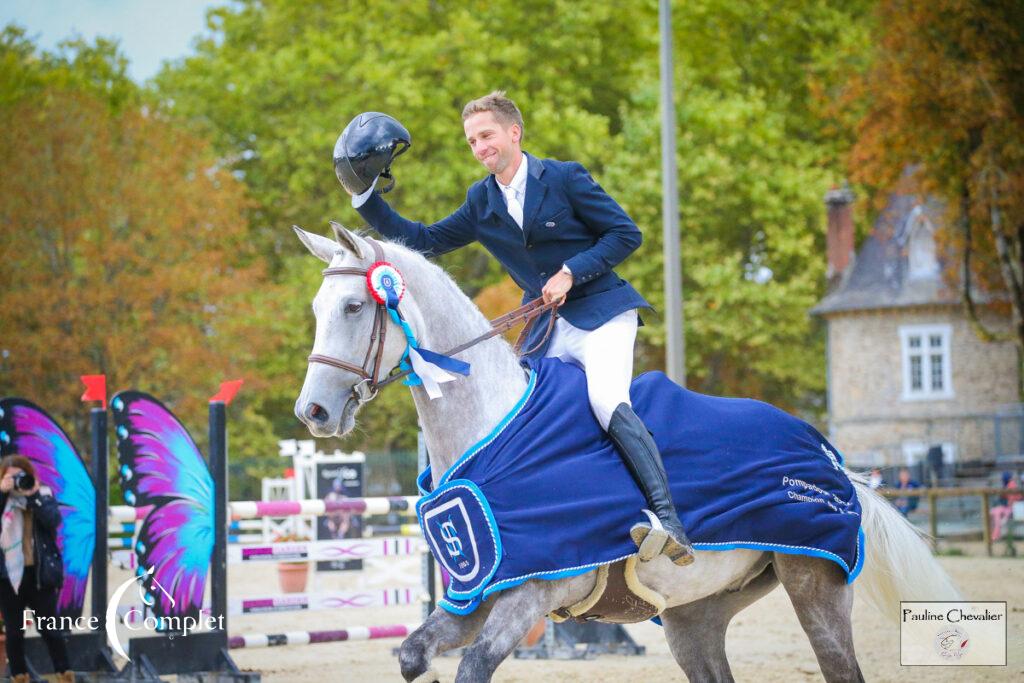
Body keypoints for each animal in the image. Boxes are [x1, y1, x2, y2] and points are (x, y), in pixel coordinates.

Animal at [294, 227, 958, 679]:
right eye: (318, 310)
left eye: (354, 307)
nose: (313, 412)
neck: (492, 429)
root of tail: (829, 455)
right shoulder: (473, 599)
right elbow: (412, 655)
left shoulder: (530, 594)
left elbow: (473, 667)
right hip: (697, 615)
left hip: (814, 584)